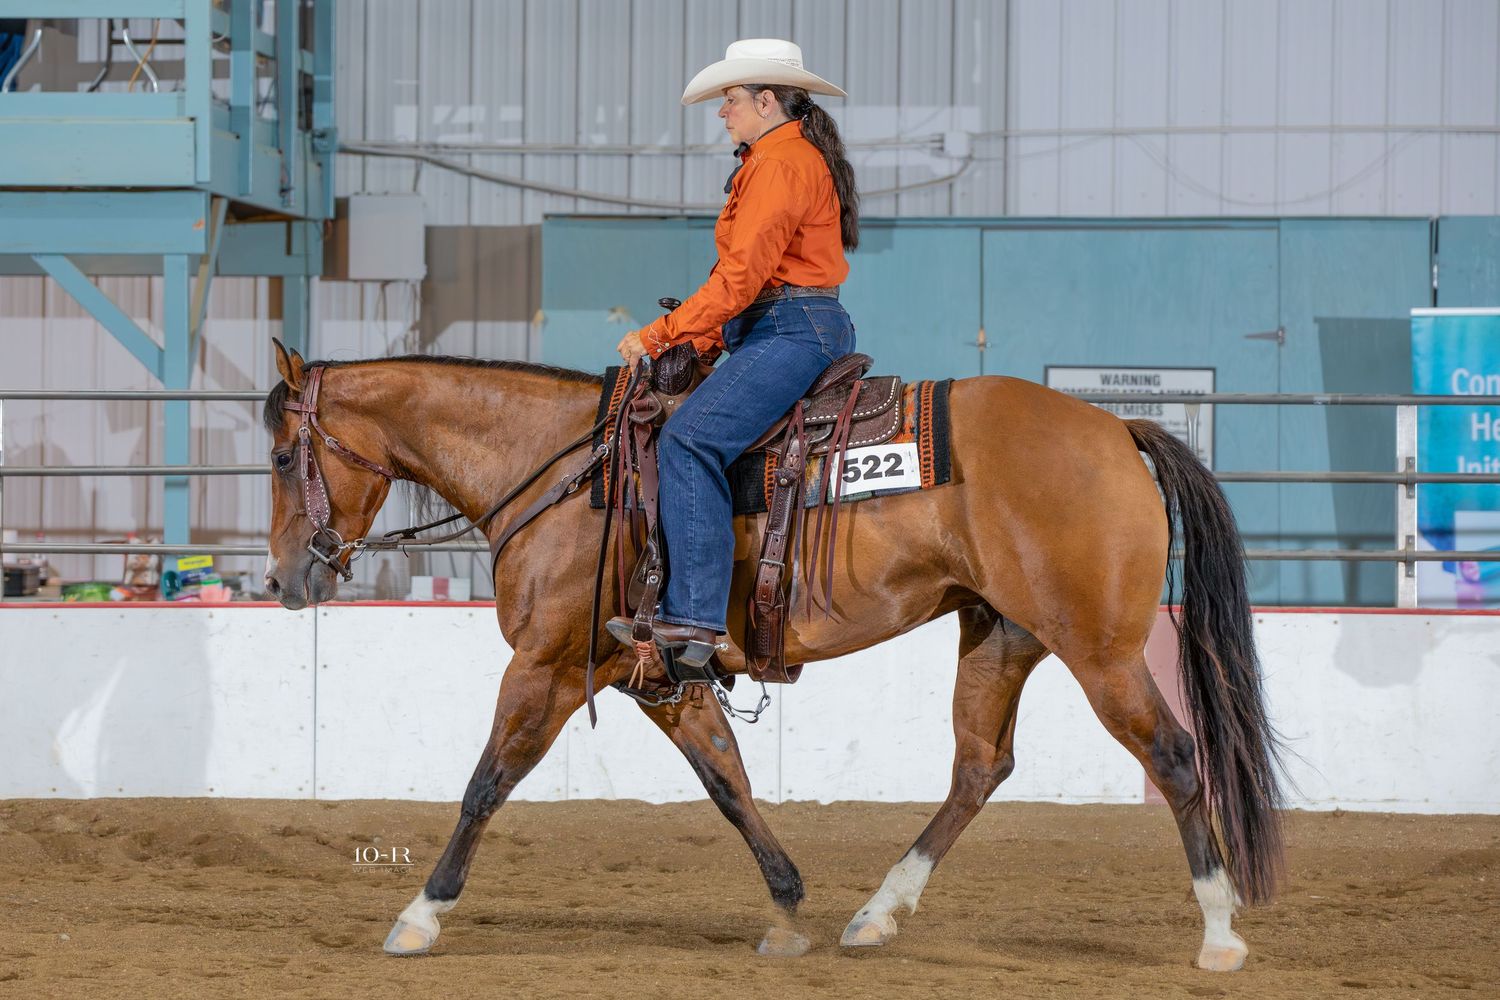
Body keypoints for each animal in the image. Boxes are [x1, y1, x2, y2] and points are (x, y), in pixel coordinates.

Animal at [261, 339, 1283, 971]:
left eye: (277, 457)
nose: (282, 579)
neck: (570, 472)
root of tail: (1115, 428)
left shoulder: (543, 669)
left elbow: (485, 782)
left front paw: (419, 915)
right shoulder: (657, 678)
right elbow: (728, 781)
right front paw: (788, 907)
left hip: (1100, 649)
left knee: (1173, 755)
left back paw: (1220, 932)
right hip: (1000, 635)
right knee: (978, 768)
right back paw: (876, 913)